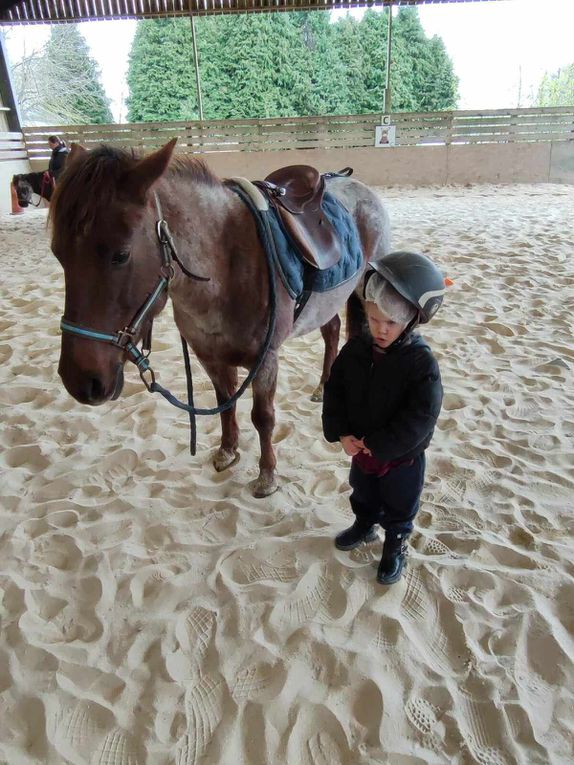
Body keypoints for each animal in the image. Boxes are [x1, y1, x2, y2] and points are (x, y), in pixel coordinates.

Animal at [50, 139, 392, 496]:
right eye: (58, 254)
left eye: (121, 255)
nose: (80, 381)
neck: (225, 263)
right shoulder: (210, 356)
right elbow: (225, 401)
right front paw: (228, 451)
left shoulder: (265, 359)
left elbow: (263, 417)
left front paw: (267, 475)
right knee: (332, 330)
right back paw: (323, 387)